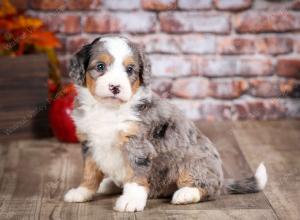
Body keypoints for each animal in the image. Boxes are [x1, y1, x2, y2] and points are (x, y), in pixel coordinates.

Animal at [63, 35, 268, 212]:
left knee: (208, 188)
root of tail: (221, 179)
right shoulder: (89, 143)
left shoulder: (138, 144)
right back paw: (108, 184)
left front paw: (131, 201)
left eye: (130, 70)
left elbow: (136, 175)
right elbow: (89, 172)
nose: (115, 87)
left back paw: (185, 194)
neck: (108, 110)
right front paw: (82, 192)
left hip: (194, 162)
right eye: (100, 66)